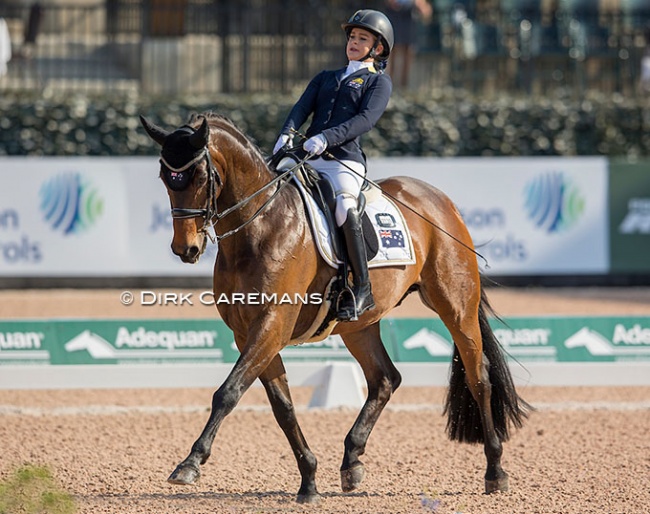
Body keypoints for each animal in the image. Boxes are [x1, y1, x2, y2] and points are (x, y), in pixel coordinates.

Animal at [139, 111, 528, 500]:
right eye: (165, 178)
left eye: (201, 177)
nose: (186, 249)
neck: (260, 227)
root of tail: (439, 200)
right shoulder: (247, 333)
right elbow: (283, 406)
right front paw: (309, 479)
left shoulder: (271, 325)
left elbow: (228, 392)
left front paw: (190, 463)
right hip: (359, 325)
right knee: (385, 379)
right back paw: (351, 462)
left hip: (456, 307)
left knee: (479, 379)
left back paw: (495, 471)